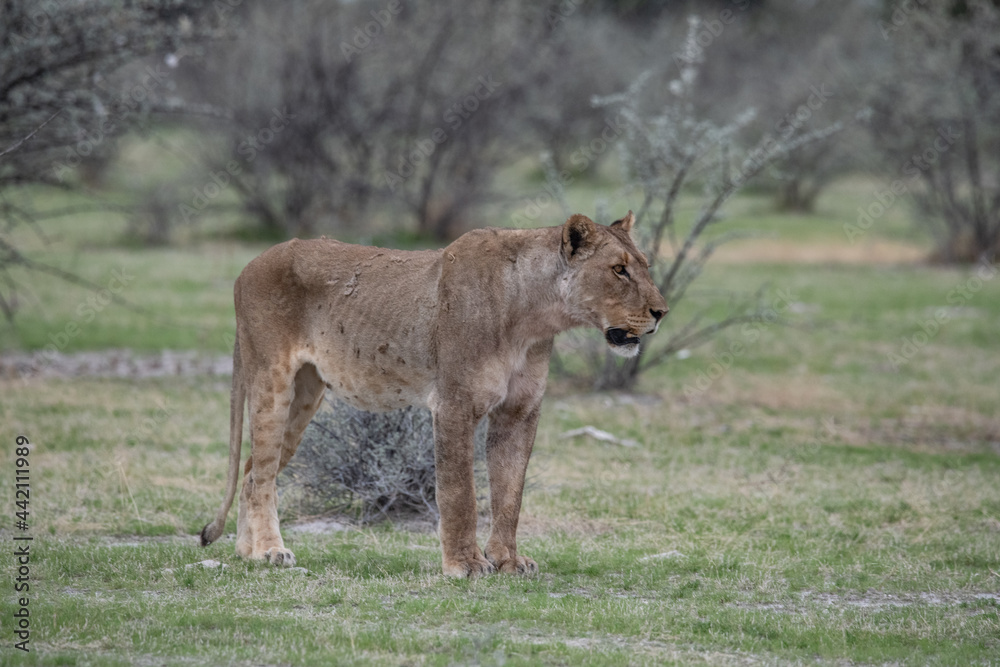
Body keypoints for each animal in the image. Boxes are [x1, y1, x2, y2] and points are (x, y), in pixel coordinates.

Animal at [200, 211, 668, 577]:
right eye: (619, 269)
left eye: (643, 265)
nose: (661, 312)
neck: (534, 316)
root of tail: (249, 266)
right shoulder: (454, 404)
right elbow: (460, 492)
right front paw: (466, 564)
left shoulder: (520, 411)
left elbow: (510, 493)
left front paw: (508, 561)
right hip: (272, 379)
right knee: (260, 475)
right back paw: (270, 551)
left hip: (305, 394)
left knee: (251, 472)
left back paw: (246, 552)